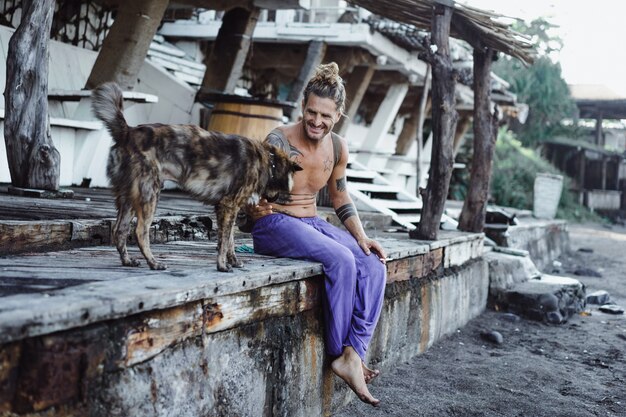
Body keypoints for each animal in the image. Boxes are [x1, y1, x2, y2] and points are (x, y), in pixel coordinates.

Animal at [89, 82, 300, 272]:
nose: (284, 202)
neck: (269, 161)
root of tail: (127, 132)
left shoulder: (227, 208)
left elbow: (229, 239)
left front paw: (233, 261)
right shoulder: (229, 206)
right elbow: (225, 241)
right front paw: (222, 266)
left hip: (128, 199)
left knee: (120, 230)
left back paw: (128, 261)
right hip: (149, 196)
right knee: (140, 232)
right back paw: (154, 263)